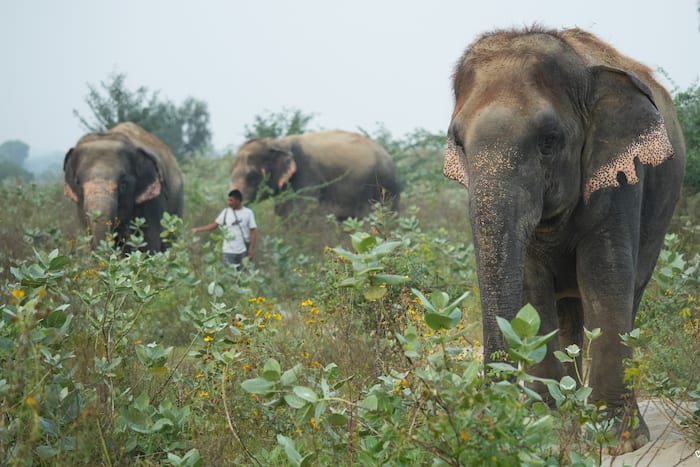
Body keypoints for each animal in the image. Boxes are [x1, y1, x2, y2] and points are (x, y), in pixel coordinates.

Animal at [227, 130, 396, 221]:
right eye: (230, 173)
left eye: (253, 176)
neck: (278, 142)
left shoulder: (306, 175)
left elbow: (301, 212)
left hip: (383, 184)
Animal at [446, 26, 688, 454]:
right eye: (458, 142)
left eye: (549, 140)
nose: (489, 414)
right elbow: (532, 288)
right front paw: (546, 425)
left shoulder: (620, 178)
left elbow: (604, 278)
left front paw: (615, 439)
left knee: (627, 294)